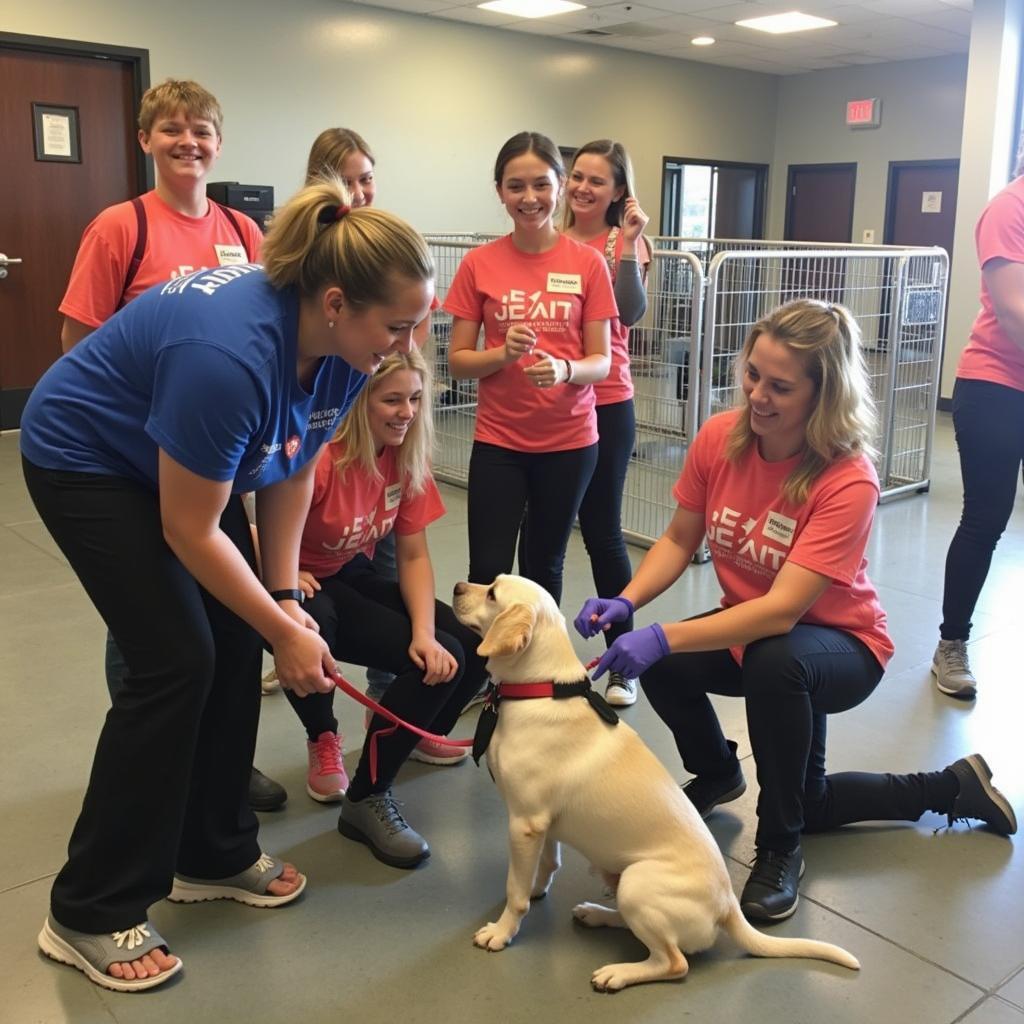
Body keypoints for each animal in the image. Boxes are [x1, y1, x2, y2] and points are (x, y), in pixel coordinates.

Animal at [452, 577, 860, 991]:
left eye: (492, 593)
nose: (456, 586)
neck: (540, 688)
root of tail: (727, 907)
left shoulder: (525, 823)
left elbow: (514, 890)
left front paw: (502, 931)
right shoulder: (542, 825)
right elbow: (547, 863)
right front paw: (537, 887)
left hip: (637, 883)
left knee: (674, 962)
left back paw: (618, 973)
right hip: (623, 882)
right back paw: (598, 914)